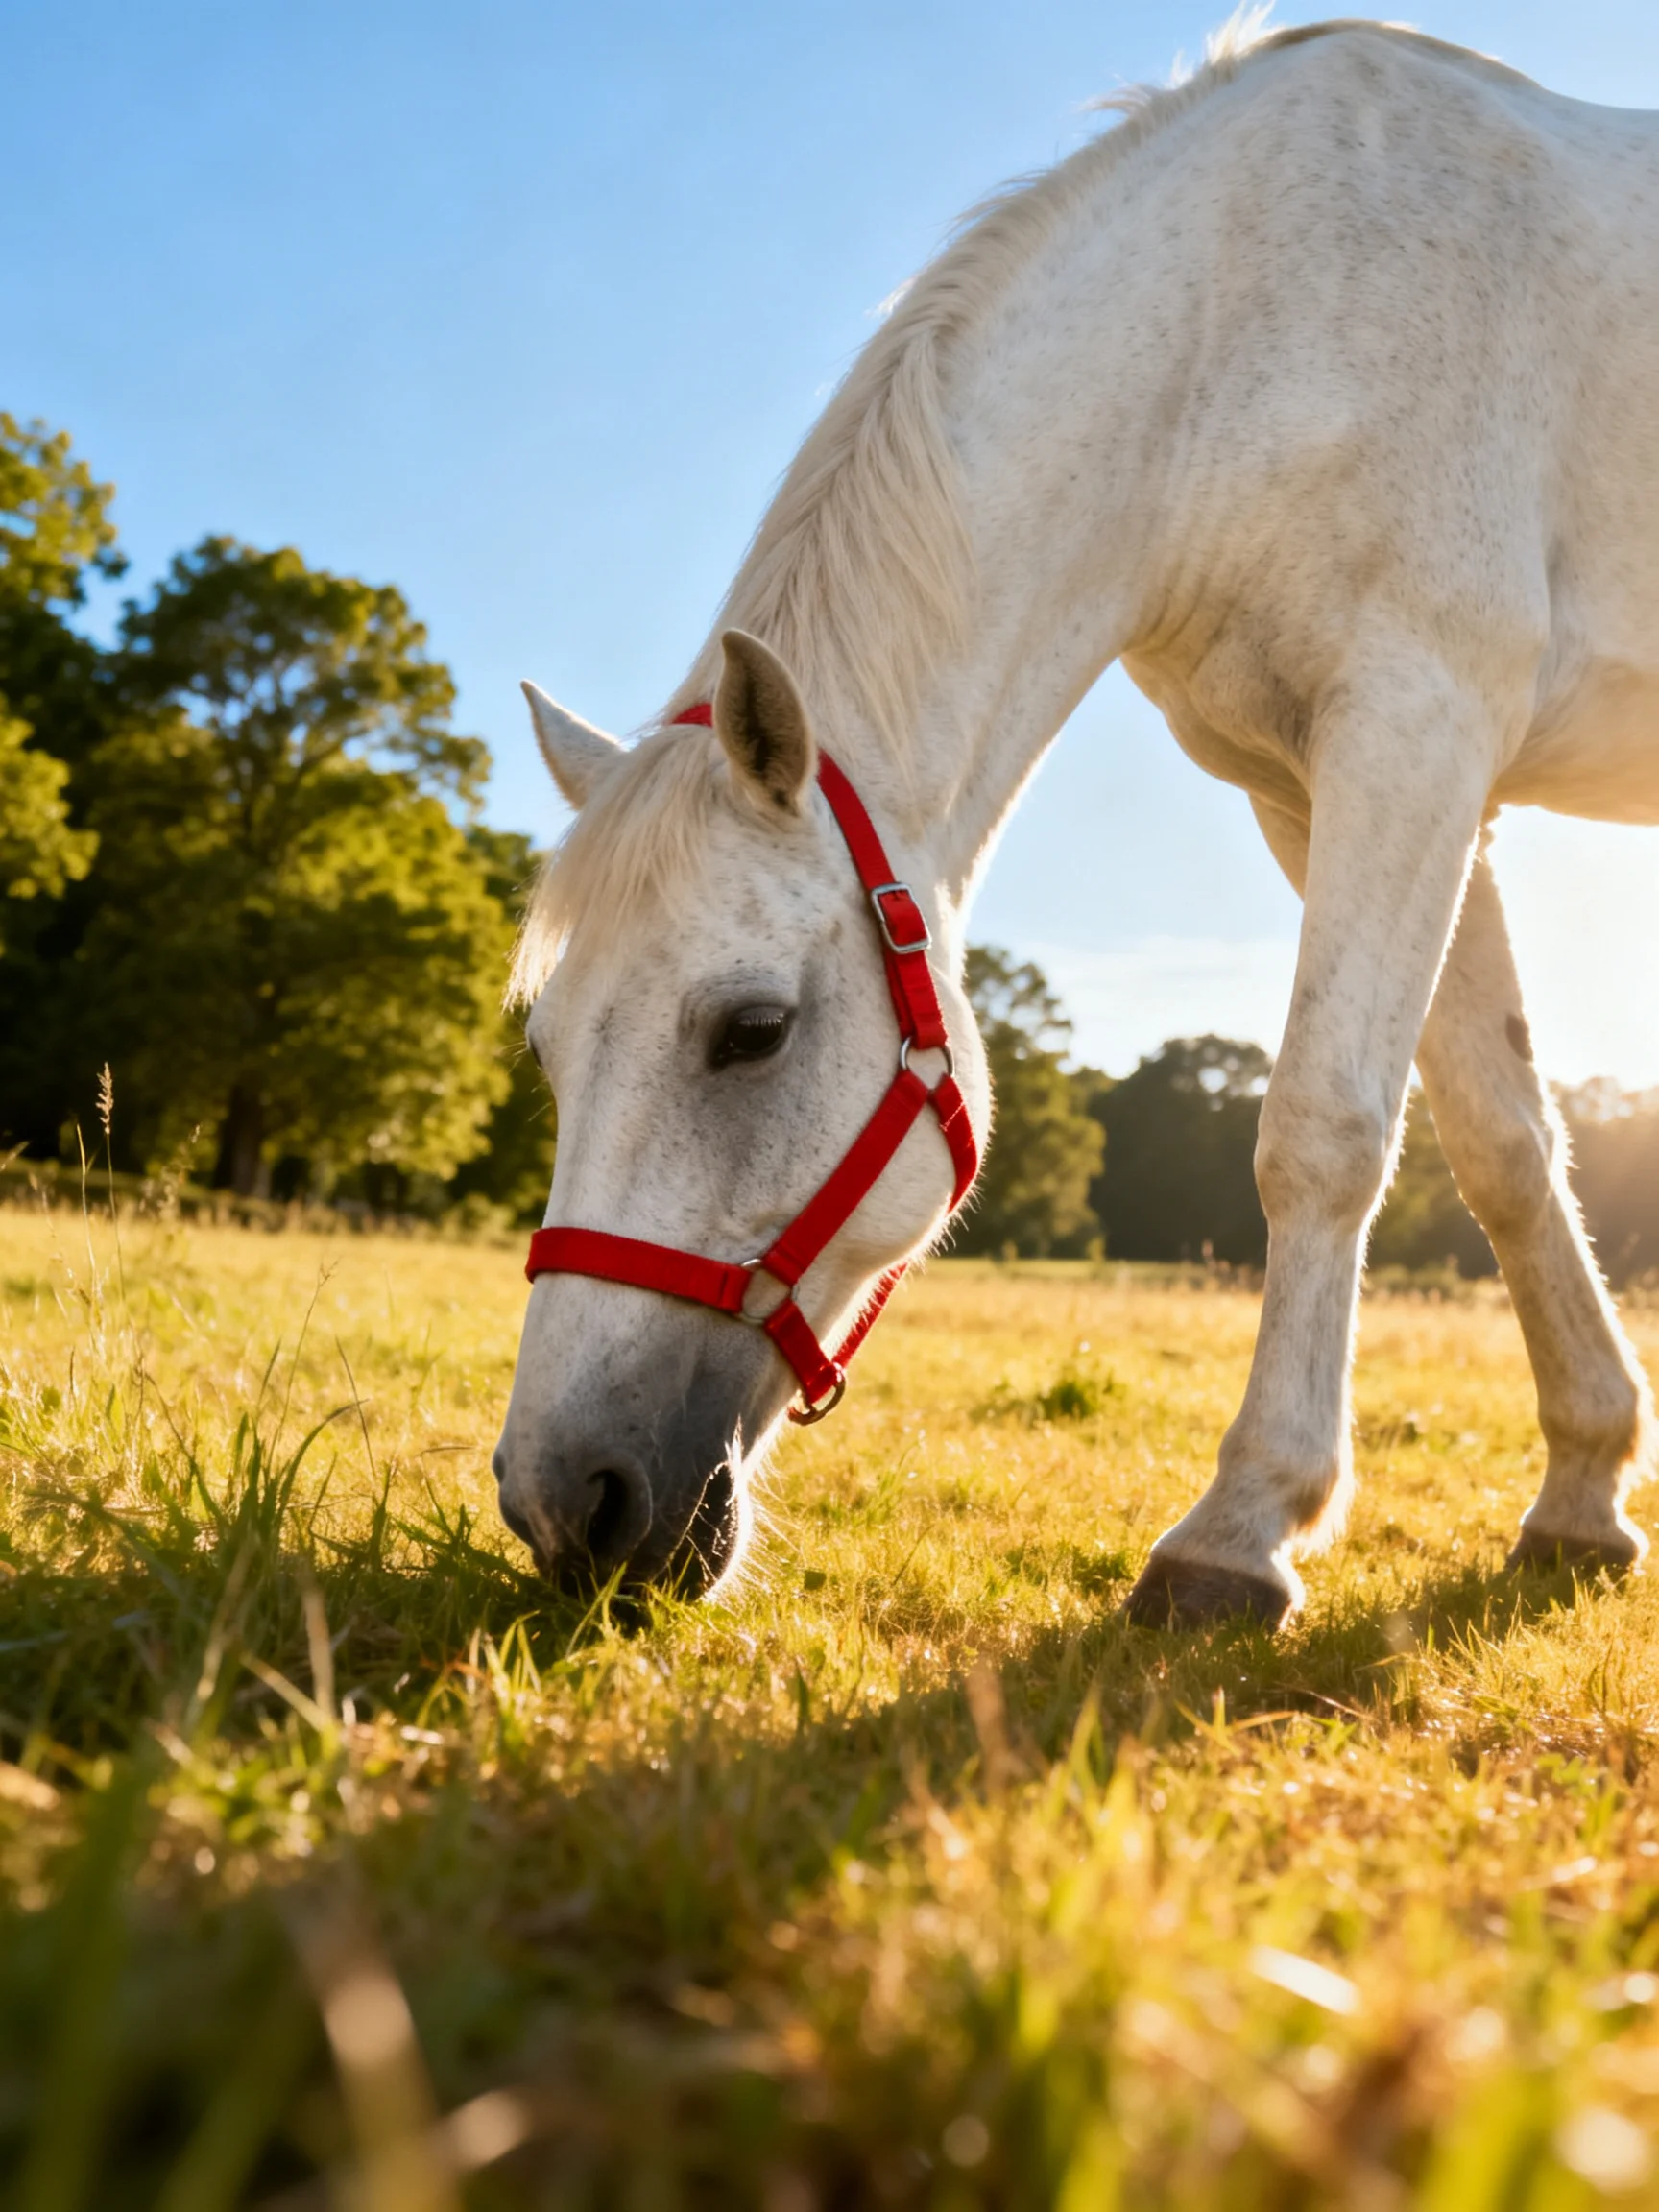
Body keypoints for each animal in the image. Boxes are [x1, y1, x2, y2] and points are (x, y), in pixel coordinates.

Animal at [493, 15, 1659, 1627]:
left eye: (752, 1031)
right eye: (546, 1047)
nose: (564, 1504)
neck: (1255, 312)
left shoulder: (1413, 729)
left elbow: (1323, 1129)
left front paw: (1241, 1530)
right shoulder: (1330, 787)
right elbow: (1502, 1143)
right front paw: (1585, 1493)